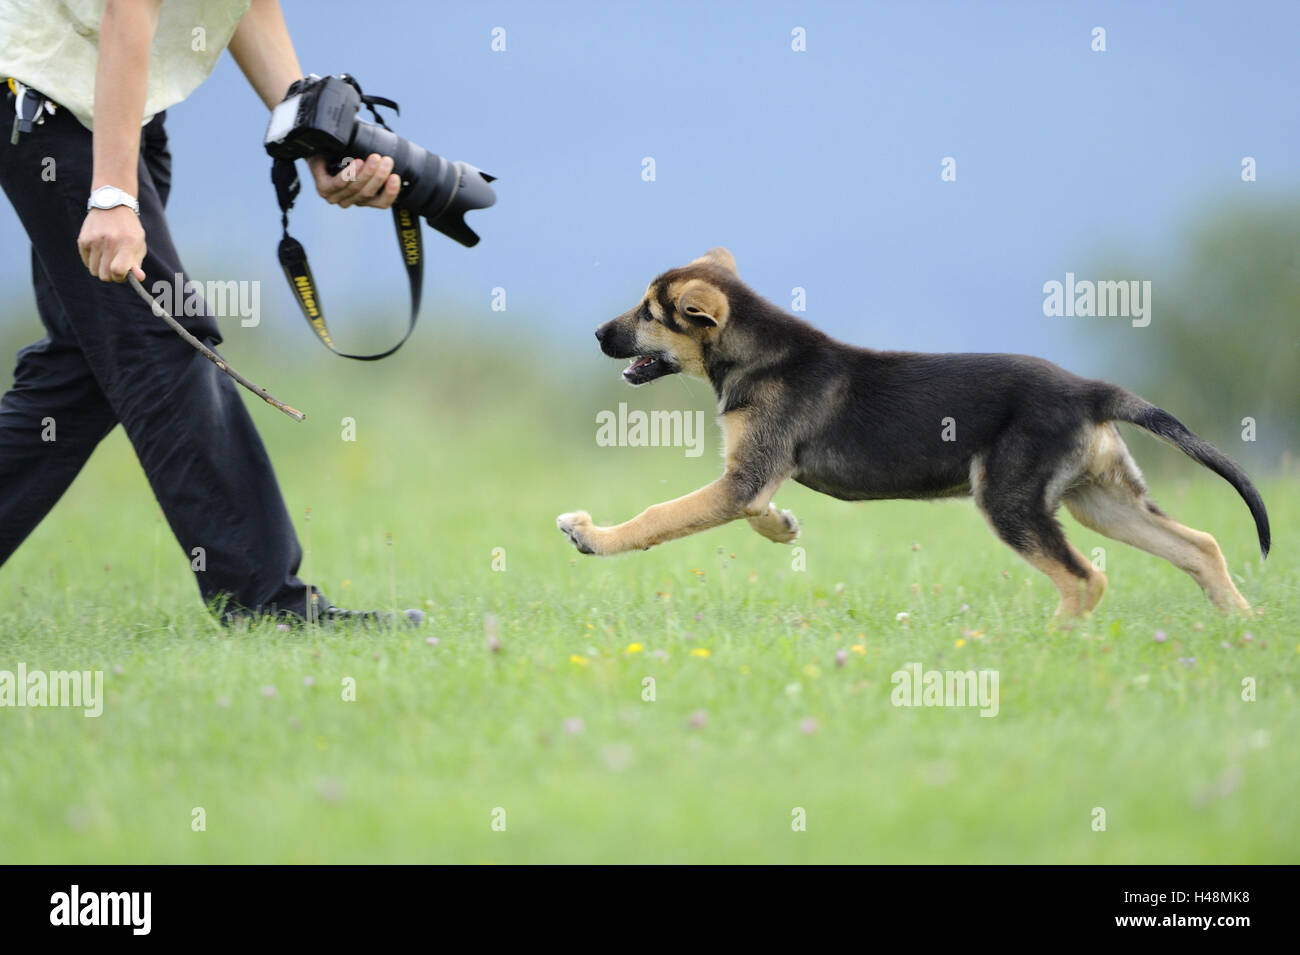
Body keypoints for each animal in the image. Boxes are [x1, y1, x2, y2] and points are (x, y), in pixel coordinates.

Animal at [559, 246, 1268, 615]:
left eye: (649, 314)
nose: (594, 335)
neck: (759, 352)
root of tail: (1091, 390)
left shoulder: (742, 479)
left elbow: (659, 516)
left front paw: (593, 536)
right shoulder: (751, 481)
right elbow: (757, 512)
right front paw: (783, 528)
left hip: (1012, 499)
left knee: (1083, 579)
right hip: (1100, 499)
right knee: (1200, 546)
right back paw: (1242, 628)